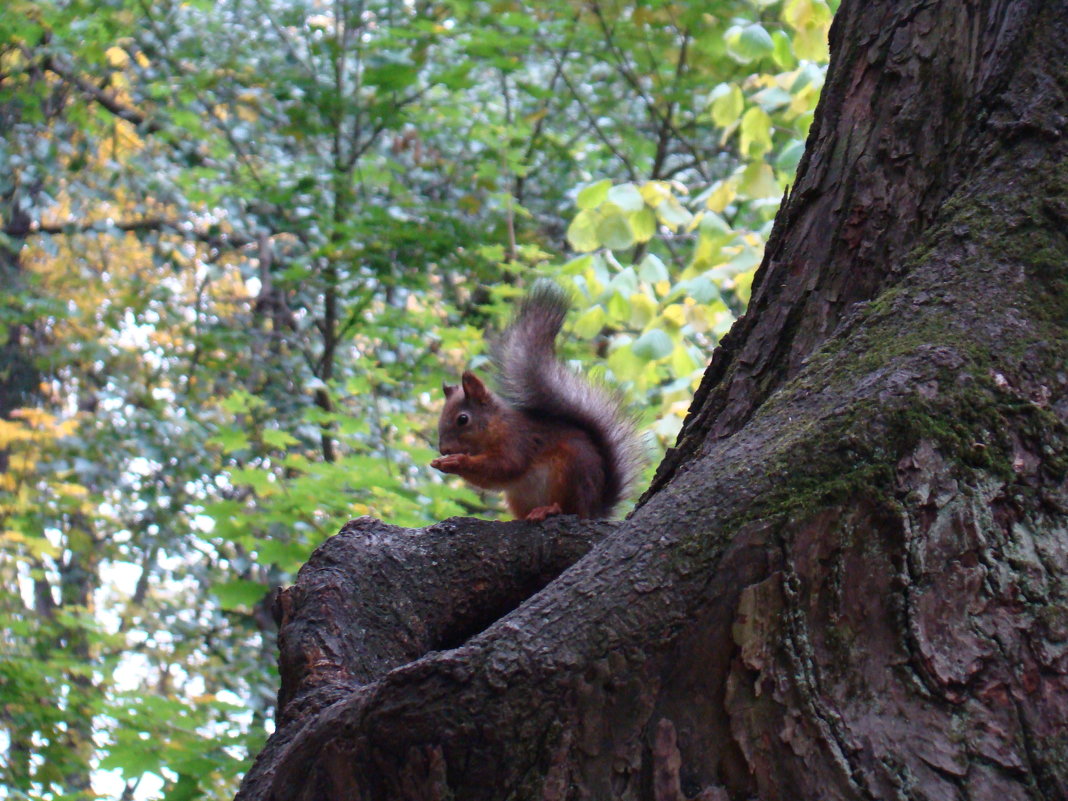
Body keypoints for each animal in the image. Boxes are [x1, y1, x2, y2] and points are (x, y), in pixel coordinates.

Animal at [427, 281, 640, 521]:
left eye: (463, 419)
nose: (444, 449)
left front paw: (456, 461)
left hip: (571, 472)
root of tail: (594, 510)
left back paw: (550, 509)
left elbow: (505, 466)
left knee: (569, 508)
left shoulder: (517, 441)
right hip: (519, 497)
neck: (495, 426)